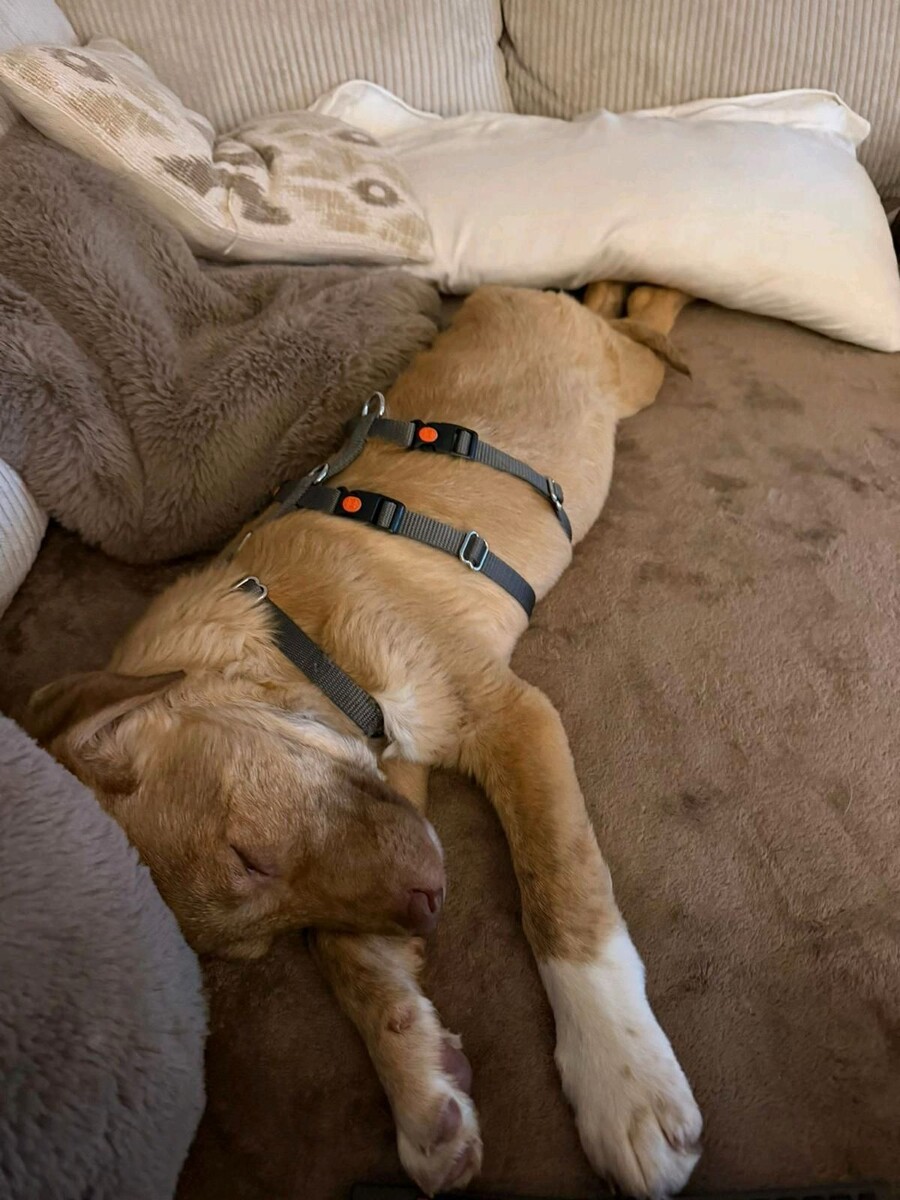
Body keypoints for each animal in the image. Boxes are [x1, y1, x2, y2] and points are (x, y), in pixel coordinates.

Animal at [26, 281, 700, 1198]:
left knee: (645, 324)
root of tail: (517, 290)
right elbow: (351, 957)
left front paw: (622, 1078)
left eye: (247, 855)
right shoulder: (393, 772)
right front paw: (422, 1089)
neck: (290, 627)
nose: (431, 912)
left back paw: (660, 294)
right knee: (613, 307)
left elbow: (561, 889)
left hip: (628, 379)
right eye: (264, 933)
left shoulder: (512, 715)